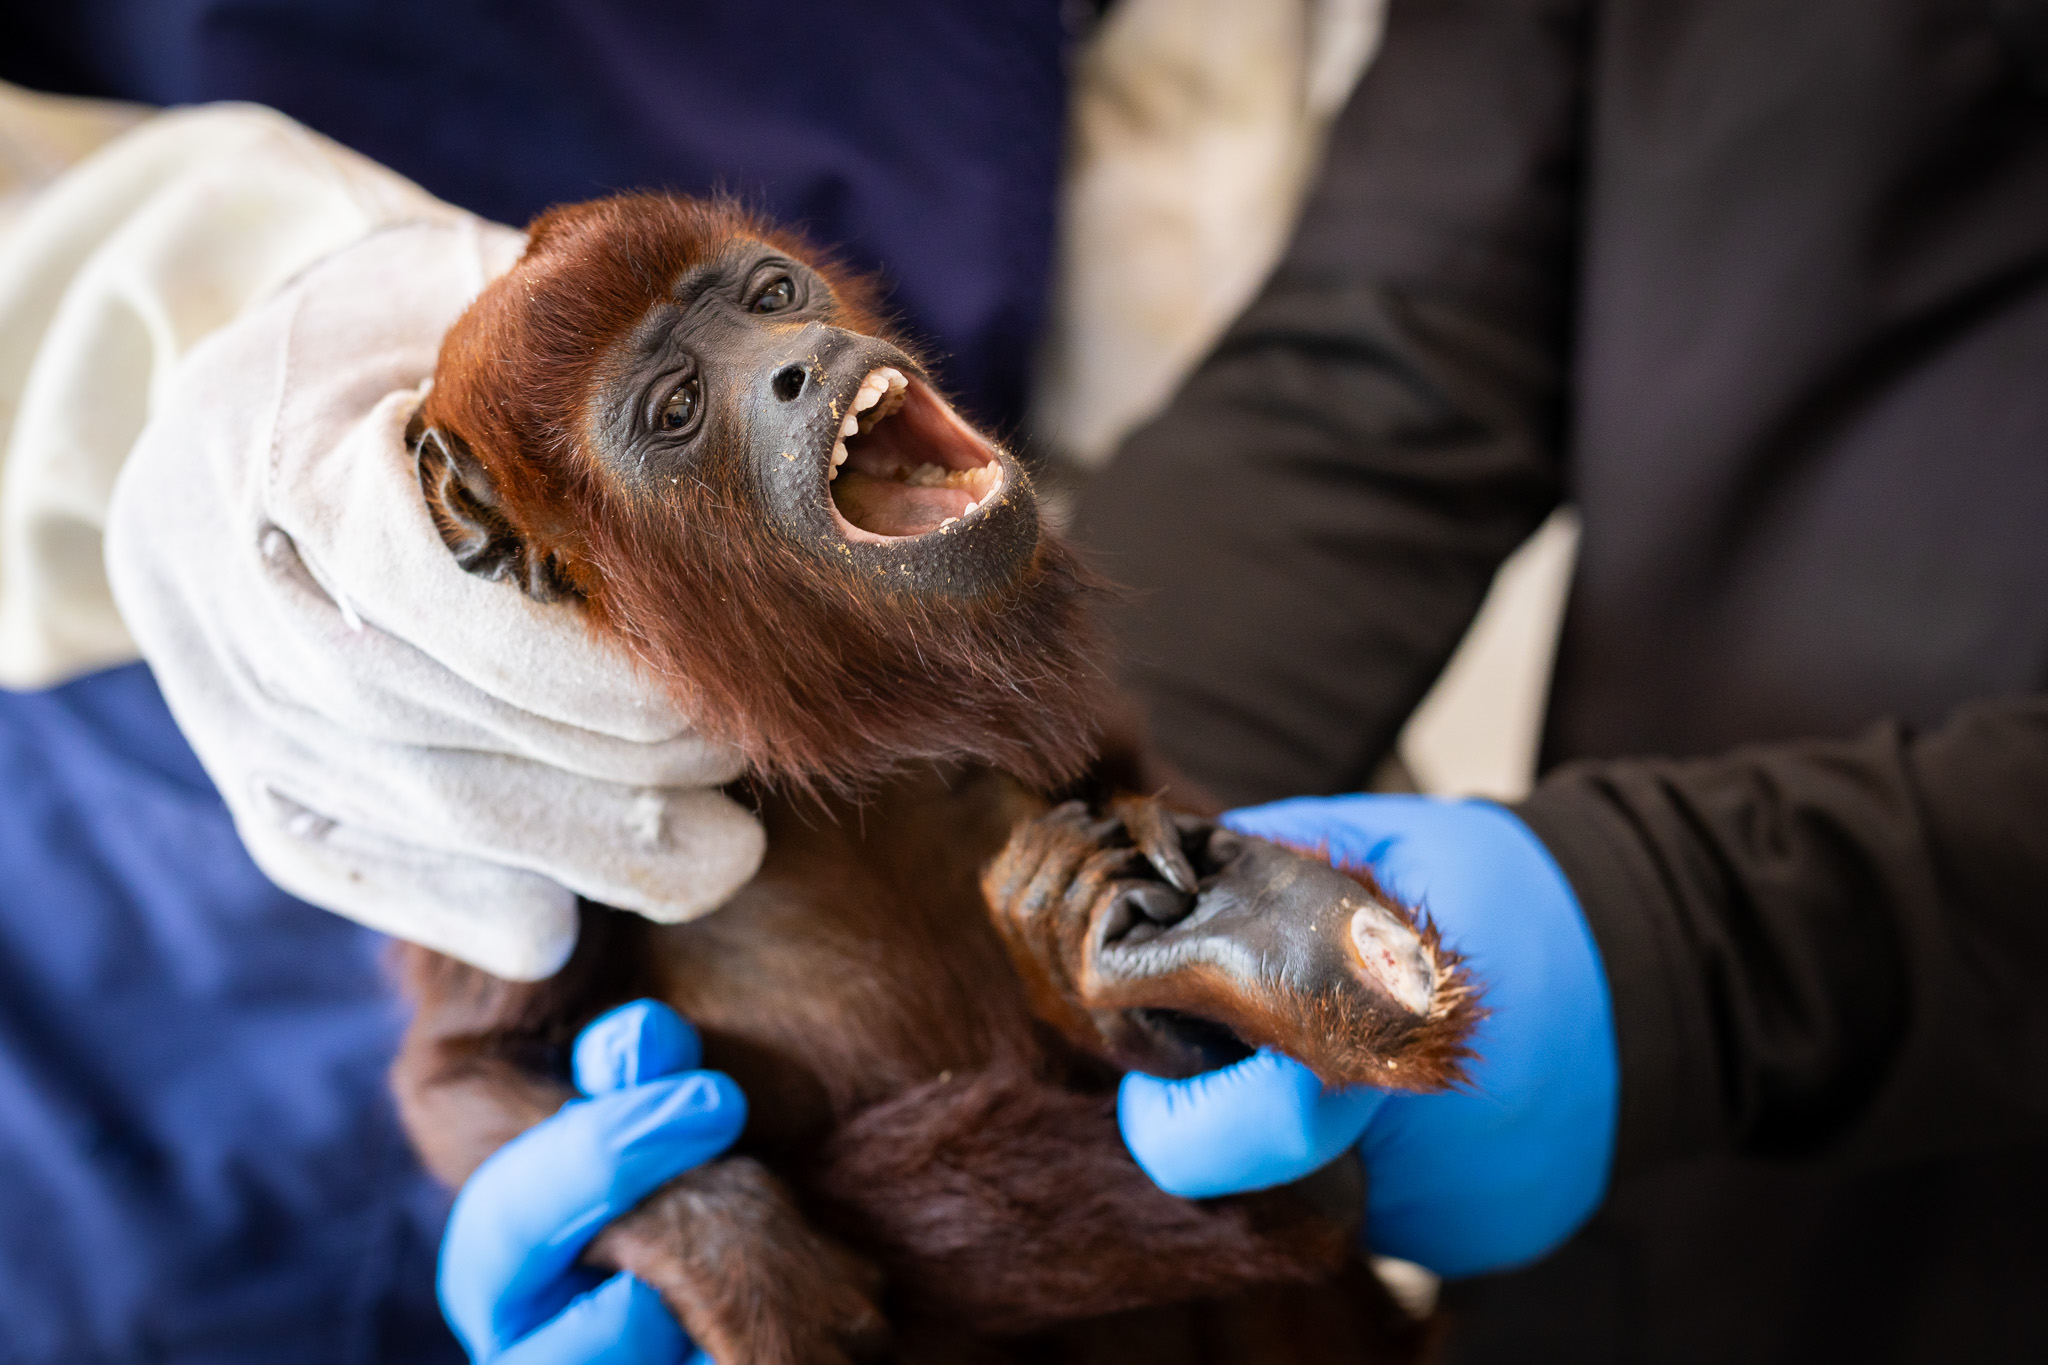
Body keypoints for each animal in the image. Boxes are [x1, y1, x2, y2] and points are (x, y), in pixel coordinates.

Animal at [390, 193, 1479, 1365]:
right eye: (677, 408)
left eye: (770, 297)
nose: (799, 365)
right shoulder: (529, 807)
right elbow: (466, 1073)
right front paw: (743, 1257)